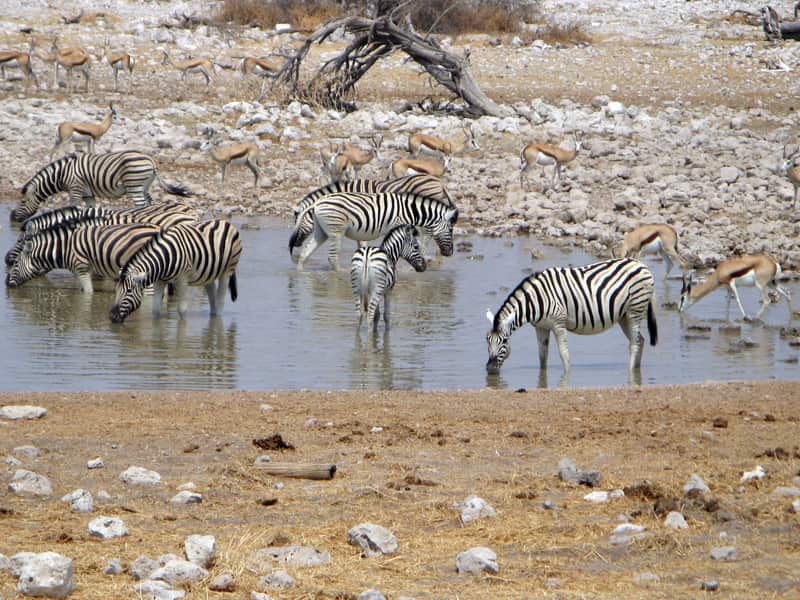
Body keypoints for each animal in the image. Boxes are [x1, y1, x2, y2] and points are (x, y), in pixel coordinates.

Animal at [6, 222, 162, 293]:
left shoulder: (82, 269)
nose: (6, 283)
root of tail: (159, 229)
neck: (64, 249)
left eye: (16, 264)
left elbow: (88, 293)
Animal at [11, 151, 191, 223]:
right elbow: (90, 209)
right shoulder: (88, 194)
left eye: (22, 202)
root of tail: (151, 161)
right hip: (144, 186)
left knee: (141, 205)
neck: (62, 175)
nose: (12, 218)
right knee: (150, 203)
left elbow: (72, 208)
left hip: (134, 185)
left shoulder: (75, 189)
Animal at [110, 219, 242, 323]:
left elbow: (182, 310)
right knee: (212, 297)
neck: (164, 259)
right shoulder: (159, 281)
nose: (112, 317)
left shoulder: (182, 280)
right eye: (116, 290)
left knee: (220, 302)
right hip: (208, 273)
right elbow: (155, 310)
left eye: (129, 291)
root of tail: (225, 222)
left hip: (228, 270)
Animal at [295, 191, 458, 271]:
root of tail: (317, 202)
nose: (450, 253)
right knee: (332, 257)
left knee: (305, 252)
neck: (411, 211)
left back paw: (300, 273)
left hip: (321, 231)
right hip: (336, 231)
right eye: (451, 229)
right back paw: (340, 273)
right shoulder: (397, 226)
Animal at [485, 258, 658, 377]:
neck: (535, 300)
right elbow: (542, 355)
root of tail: (641, 264)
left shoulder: (558, 324)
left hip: (635, 309)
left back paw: (630, 372)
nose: (490, 369)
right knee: (640, 340)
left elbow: (564, 354)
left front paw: (567, 375)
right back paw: (636, 369)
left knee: (634, 343)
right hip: (623, 316)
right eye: (487, 340)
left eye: (504, 341)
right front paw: (542, 377)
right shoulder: (541, 327)